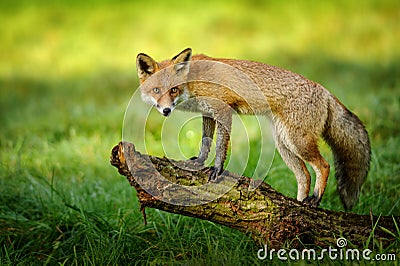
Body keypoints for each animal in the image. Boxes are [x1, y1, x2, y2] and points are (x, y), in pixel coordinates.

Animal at [136, 47, 370, 210]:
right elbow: (205, 143)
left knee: (324, 166)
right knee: (304, 176)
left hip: (298, 141)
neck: (193, 81)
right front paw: (199, 162)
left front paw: (217, 170)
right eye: (156, 91)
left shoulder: (223, 110)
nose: (166, 110)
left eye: (173, 90)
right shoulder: (208, 113)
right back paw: (297, 208)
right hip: (284, 144)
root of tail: (325, 91)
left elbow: (220, 147)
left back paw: (315, 199)